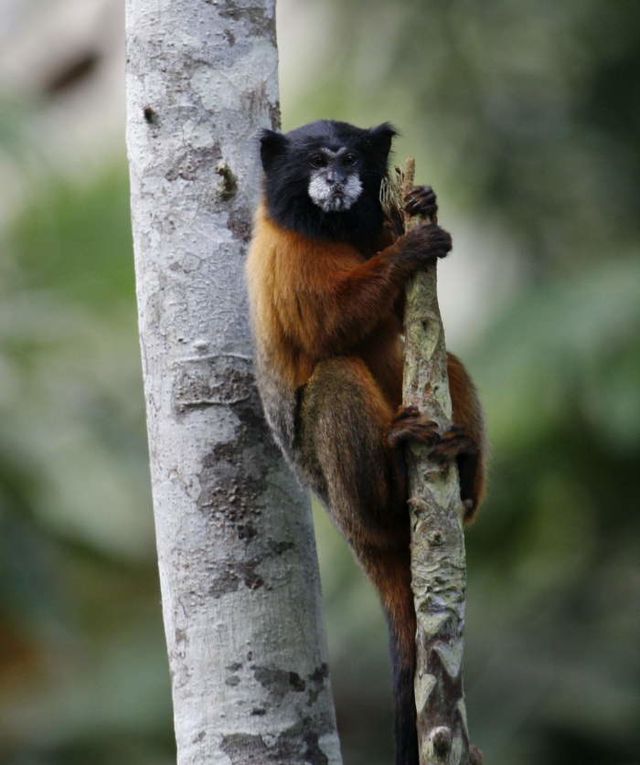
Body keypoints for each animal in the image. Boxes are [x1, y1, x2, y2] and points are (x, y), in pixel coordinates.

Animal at [245, 119, 484, 764]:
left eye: (349, 157)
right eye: (315, 162)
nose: (334, 178)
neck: (328, 227)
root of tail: (345, 521)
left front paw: (420, 205)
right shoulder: (285, 256)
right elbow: (330, 326)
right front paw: (408, 251)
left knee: (443, 361)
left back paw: (464, 472)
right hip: (340, 489)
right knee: (334, 376)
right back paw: (395, 476)